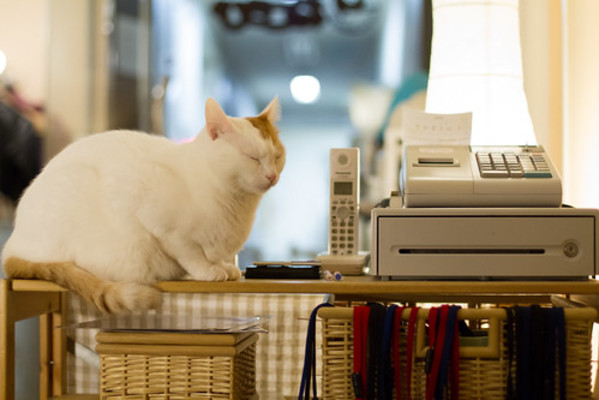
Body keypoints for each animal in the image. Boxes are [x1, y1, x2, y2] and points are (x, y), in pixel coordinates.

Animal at [1, 96, 286, 312]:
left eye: (277, 156)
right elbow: (189, 253)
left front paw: (226, 267)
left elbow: (218, 256)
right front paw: (208, 270)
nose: (272, 176)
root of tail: (12, 247)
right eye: (253, 158)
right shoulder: (156, 217)